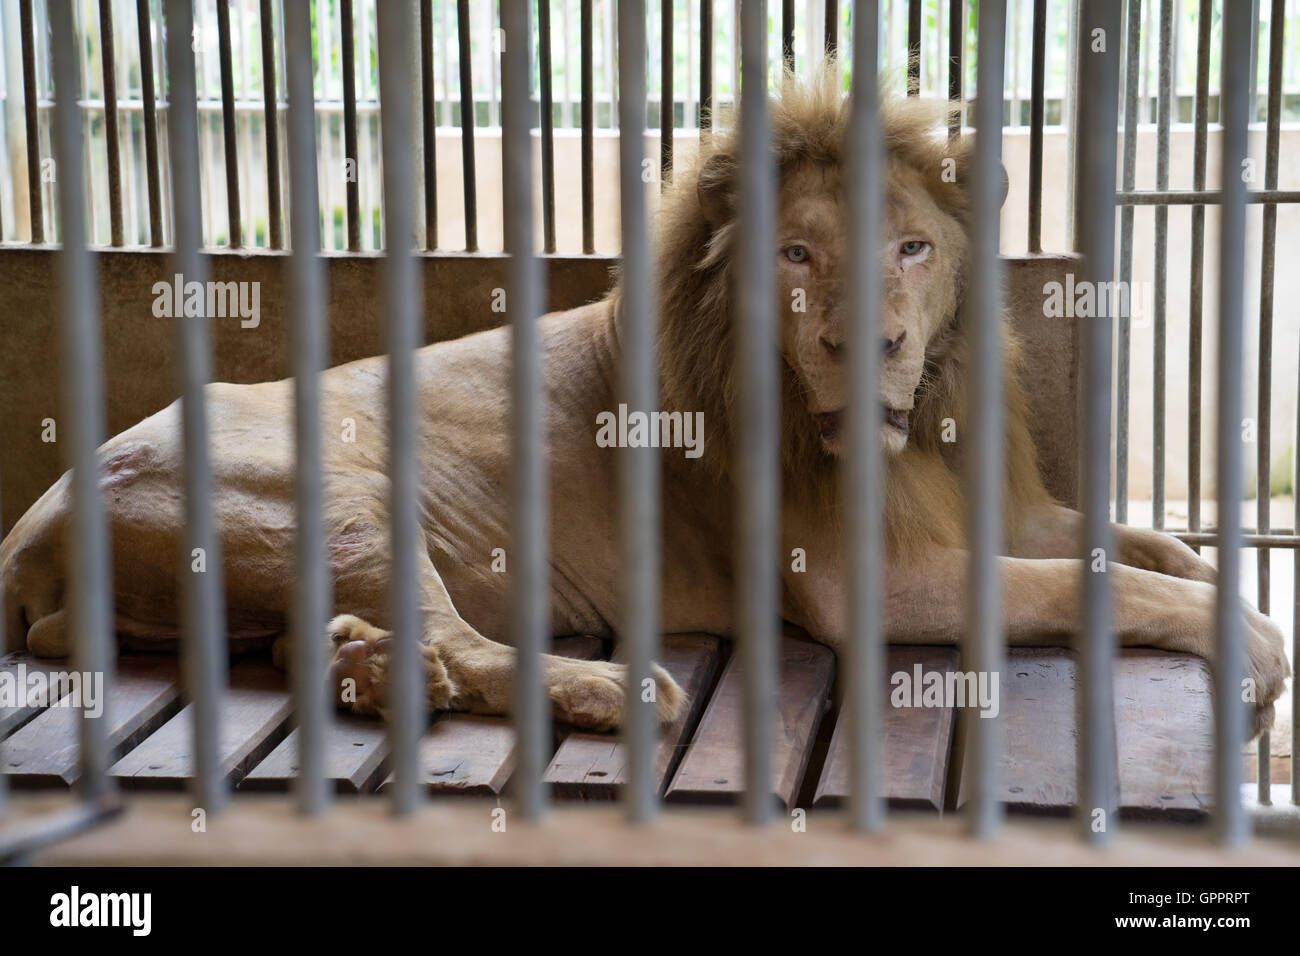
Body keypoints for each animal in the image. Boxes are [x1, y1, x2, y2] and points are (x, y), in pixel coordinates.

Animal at [0, 74, 1284, 738]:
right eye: (796, 255)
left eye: (914, 247)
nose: (864, 345)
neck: (917, 424)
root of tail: (35, 530)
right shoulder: (861, 578)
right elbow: (1088, 582)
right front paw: (1254, 644)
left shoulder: (990, 506)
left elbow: (1137, 540)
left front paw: (1232, 595)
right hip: (338, 498)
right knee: (453, 637)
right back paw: (611, 690)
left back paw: (362, 668)